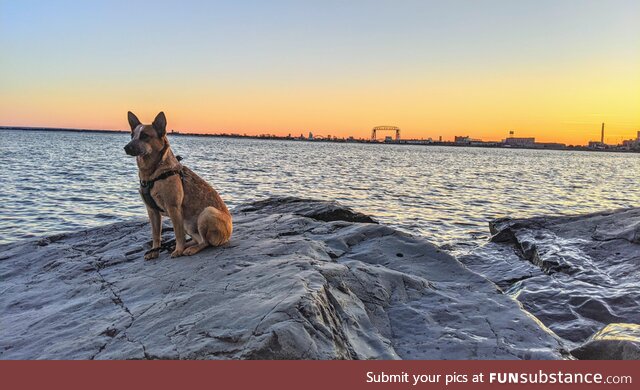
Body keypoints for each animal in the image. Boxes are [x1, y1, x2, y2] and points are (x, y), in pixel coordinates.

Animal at [124, 111, 231, 258]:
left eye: (145, 135)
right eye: (131, 135)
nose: (126, 147)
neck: (153, 173)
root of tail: (229, 233)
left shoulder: (173, 207)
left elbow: (178, 234)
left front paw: (178, 250)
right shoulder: (152, 211)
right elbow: (156, 234)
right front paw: (154, 251)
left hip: (206, 213)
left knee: (205, 242)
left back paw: (190, 249)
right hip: (188, 223)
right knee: (197, 239)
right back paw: (188, 245)